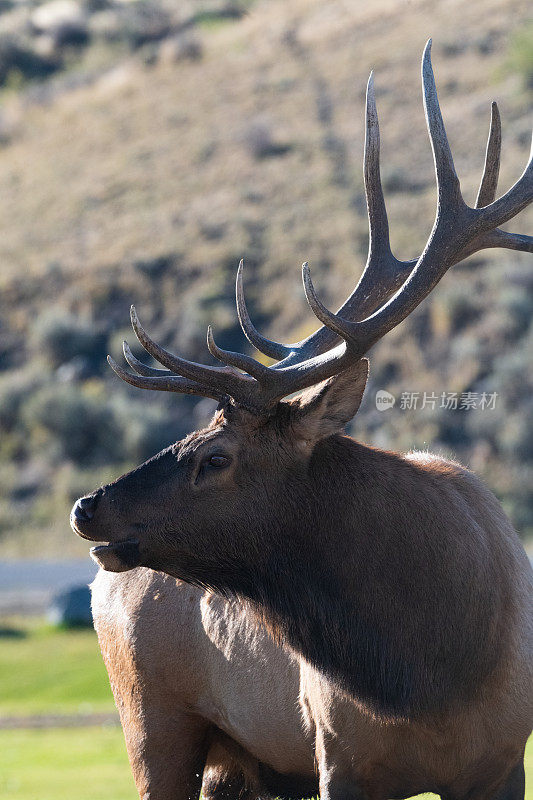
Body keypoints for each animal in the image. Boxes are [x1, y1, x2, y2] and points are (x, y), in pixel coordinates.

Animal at [71, 43, 532, 800]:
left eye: (216, 456)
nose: (88, 506)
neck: (431, 673)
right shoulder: (335, 757)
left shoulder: (501, 761)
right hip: (148, 722)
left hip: (240, 762)